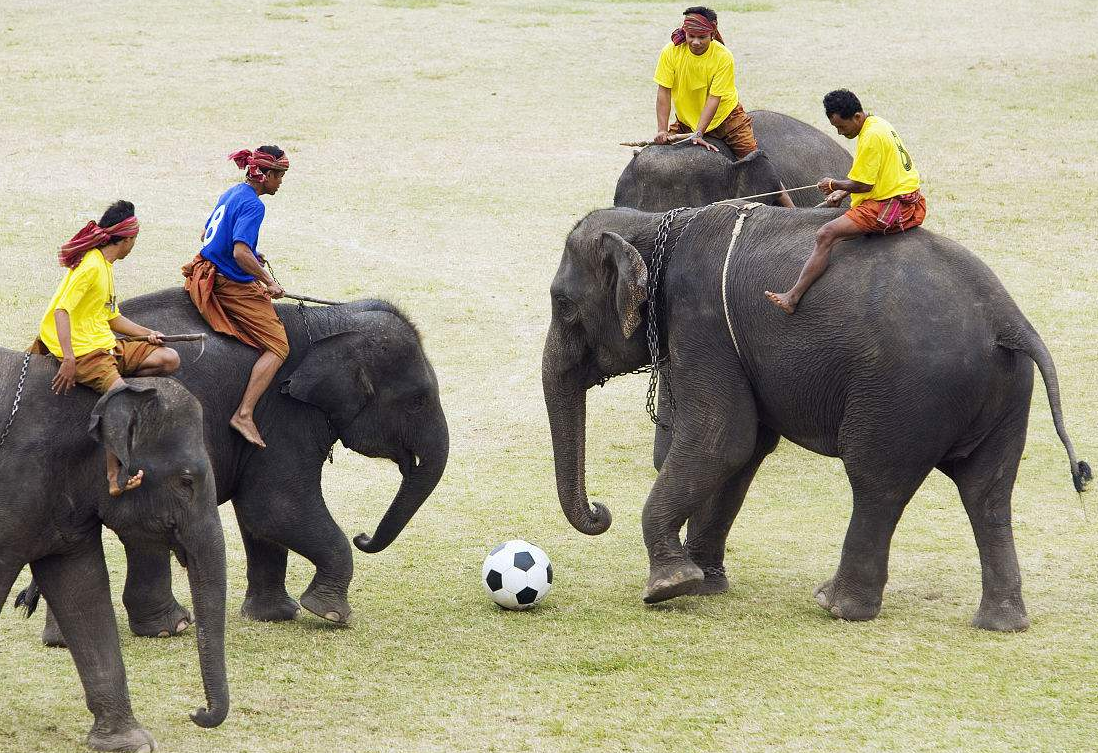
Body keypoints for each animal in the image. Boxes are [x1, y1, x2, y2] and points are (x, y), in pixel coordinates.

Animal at [28, 289, 450, 641]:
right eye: (417, 401)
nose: (364, 536)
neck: (331, 320)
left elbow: (258, 519)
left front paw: (274, 616)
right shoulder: (281, 415)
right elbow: (275, 507)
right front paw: (330, 614)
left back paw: (66, 639)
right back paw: (170, 628)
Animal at [544, 203, 1093, 632]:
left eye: (562, 304)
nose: (600, 509)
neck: (657, 222)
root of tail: (1009, 320)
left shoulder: (702, 325)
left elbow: (720, 440)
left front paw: (667, 587)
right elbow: (744, 450)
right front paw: (704, 585)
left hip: (902, 395)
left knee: (877, 484)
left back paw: (837, 606)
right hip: (1005, 395)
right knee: (988, 492)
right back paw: (1001, 623)